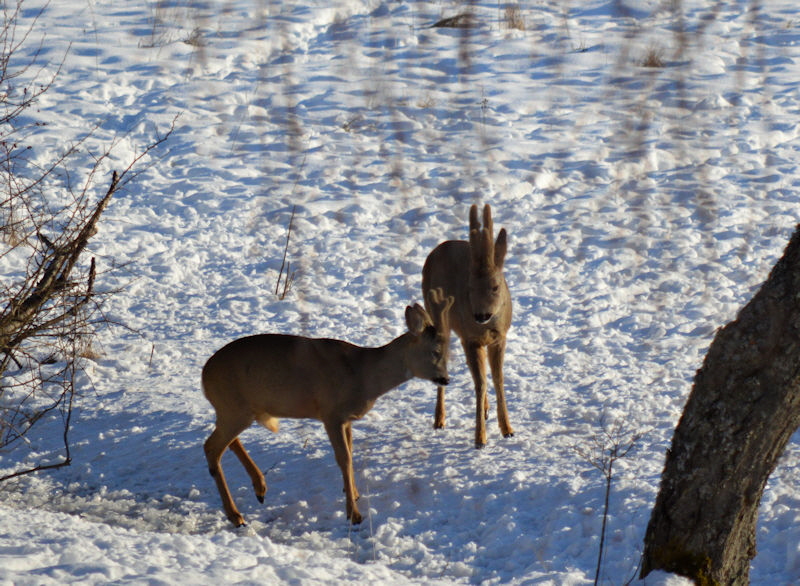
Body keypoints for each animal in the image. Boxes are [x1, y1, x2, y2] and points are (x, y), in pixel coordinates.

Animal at [200, 288, 454, 524]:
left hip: (237, 410)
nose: (446, 379)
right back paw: (236, 516)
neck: (363, 375)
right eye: (436, 351)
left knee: (227, 442)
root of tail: (204, 376)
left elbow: (350, 455)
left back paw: (260, 489)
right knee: (211, 447)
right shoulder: (332, 413)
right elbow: (344, 458)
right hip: (234, 408)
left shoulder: (347, 419)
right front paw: (354, 514)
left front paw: (355, 494)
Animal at [422, 203, 516, 450]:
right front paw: (480, 439)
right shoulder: (471, 338)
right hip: (437, 314)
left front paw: (508, 429)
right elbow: (480, 383)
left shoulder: (499, 337)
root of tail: (439, 248)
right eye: (470, 287)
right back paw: (439, 419)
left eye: (496, 286)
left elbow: (497, 378)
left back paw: (485, 410)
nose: (481, 315)